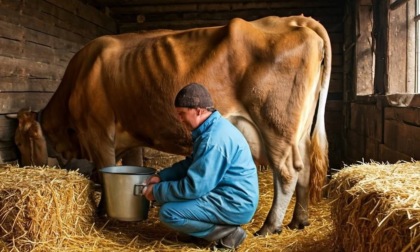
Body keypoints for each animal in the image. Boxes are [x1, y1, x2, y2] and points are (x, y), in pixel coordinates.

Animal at [14, 15, 332, 236]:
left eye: (18, 142)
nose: (25, 167)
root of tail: (293, 20)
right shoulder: (131, 136)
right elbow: (132, 162)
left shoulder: (98, 131)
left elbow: (103, 172)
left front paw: (104, 213)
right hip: (298, 131)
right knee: (304, 168)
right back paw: (299, 220)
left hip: (275, 124)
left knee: (288, 172)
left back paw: (270, 226)